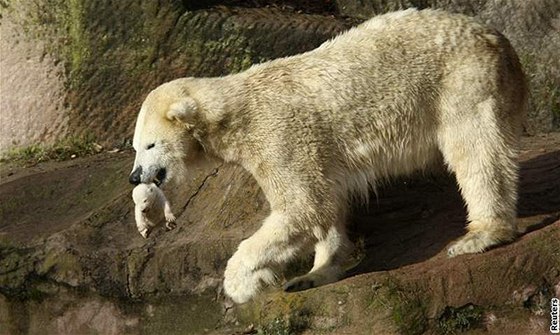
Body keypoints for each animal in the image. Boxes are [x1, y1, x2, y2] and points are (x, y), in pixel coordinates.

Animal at [129, 9, 528, 304]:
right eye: (134, 147)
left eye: (149, 145)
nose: (135, 176)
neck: (234, 113)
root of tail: (496, 38)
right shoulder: (312, 151)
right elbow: (326, 206)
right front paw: (312, 274)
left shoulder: (278, 135)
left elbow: (303, 206)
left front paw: (242, 283)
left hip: (461, 82)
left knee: (476, 150)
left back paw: (480, 235)